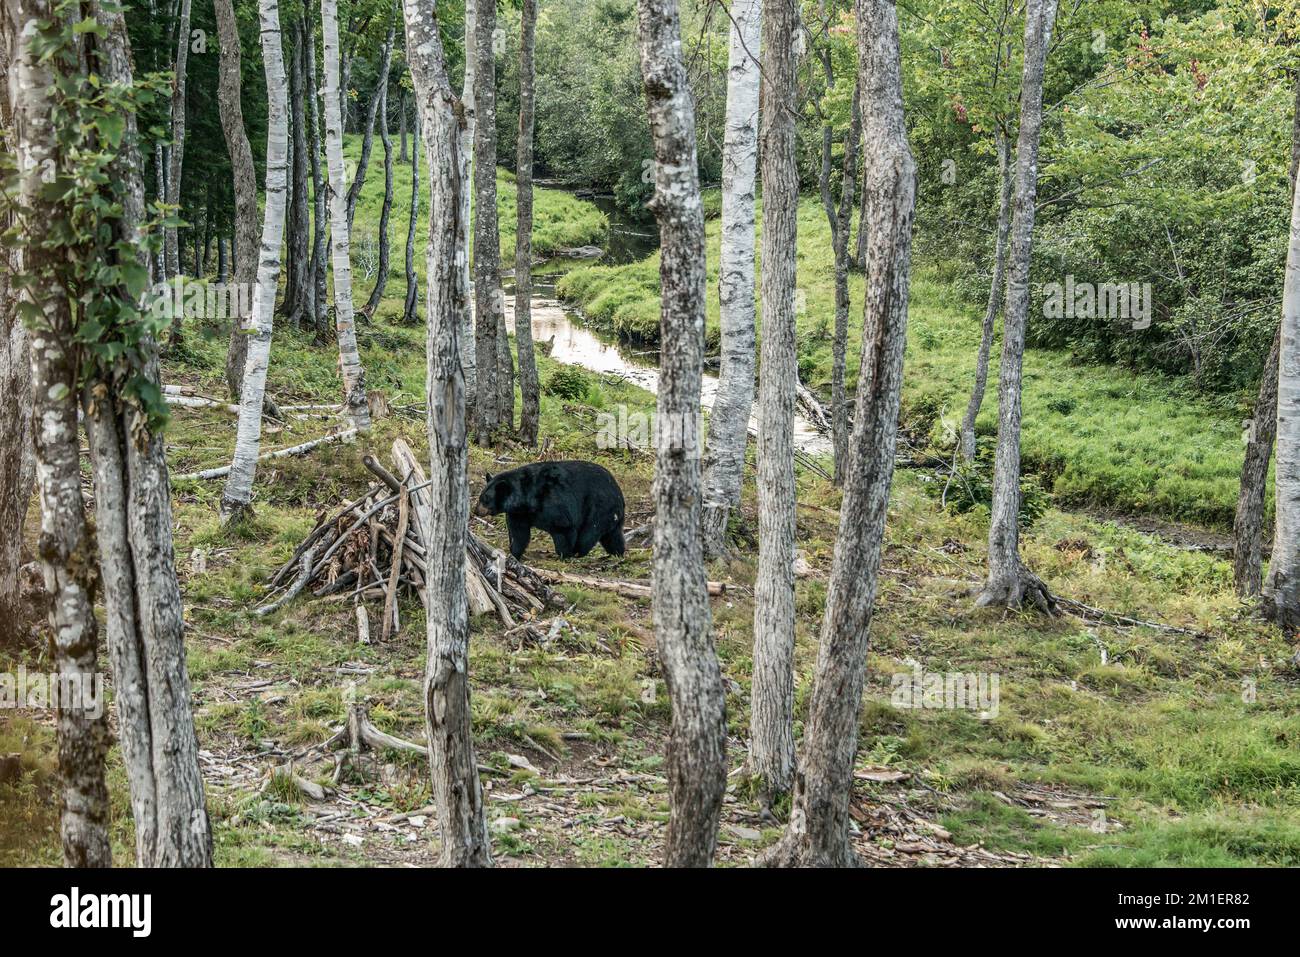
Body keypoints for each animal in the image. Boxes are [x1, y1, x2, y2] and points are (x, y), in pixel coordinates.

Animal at [473, 460, 626, 561]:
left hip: (598, 507)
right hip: (611, 515)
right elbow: (519, 533)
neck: (527, 498)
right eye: (481, 496)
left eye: (486, 499)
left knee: (589, 532)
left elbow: (564, 528)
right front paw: (514, 553)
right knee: (613, 536)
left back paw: (579, 552)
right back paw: (617, 553)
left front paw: (564, 554)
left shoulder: (553, 503)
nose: (476, 511)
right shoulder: (519, 513)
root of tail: (618, 493)